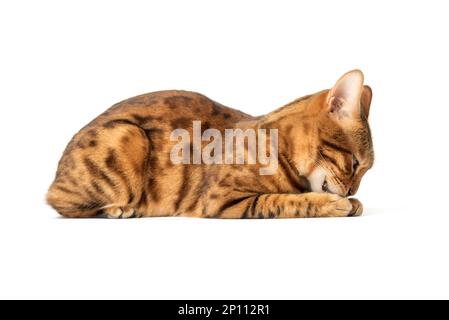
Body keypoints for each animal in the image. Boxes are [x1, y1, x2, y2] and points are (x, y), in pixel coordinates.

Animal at [47, 69, 372, 220]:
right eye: (356, 163)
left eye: (366, 170)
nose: (352, 190)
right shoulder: (223, 199)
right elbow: (281, 201)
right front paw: (333, 203)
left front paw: (353, 203)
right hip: (128, 136)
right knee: (59, 202)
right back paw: (118, 209)